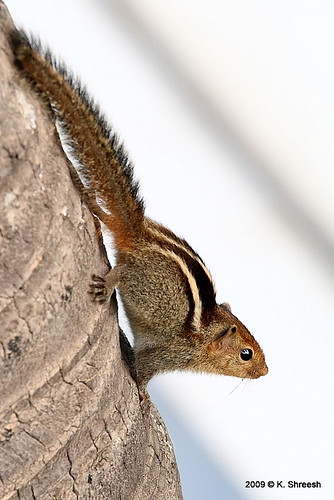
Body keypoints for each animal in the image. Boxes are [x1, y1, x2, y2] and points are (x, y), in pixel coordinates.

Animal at [11, 30, 268, 394]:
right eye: (247, 354)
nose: (266, 371)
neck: (206, 336)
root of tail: (139, 231)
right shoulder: (167, 354)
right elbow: (143, 370)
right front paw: (144, 395)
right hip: (139, 276)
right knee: (120, 266)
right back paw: (106, 279)